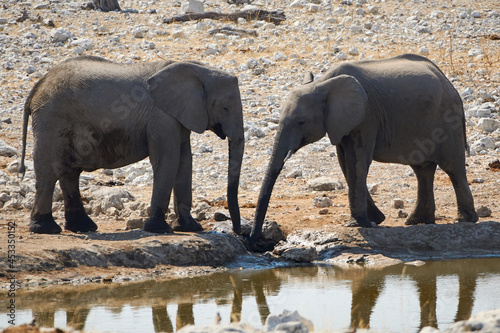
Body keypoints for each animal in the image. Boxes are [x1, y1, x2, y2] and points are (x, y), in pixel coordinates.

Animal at [19, 55, 244, 235]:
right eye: (225, 108)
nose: (240, 233)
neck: (198, 69)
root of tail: (38, 85)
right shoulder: (160, 116)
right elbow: (168, 160)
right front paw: (160, 229)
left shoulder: (179, 115)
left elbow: (184, 161)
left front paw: (190, 228)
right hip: (51, 118)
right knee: (49, 169)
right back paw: (46, 229)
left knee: (69, 171)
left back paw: (83, 227)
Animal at [250, 53, 476, 246]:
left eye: (301, 122)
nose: (253, 242)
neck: (323, 83)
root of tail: (449, 82)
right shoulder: (342, 122)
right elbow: (345, 162)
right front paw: (373, 220)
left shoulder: (367, 116)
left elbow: (358, 161)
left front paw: (361, 223)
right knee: (423, 169)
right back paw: (417, 221)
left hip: (448, 120)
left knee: (452, 167)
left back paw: (465, 220)